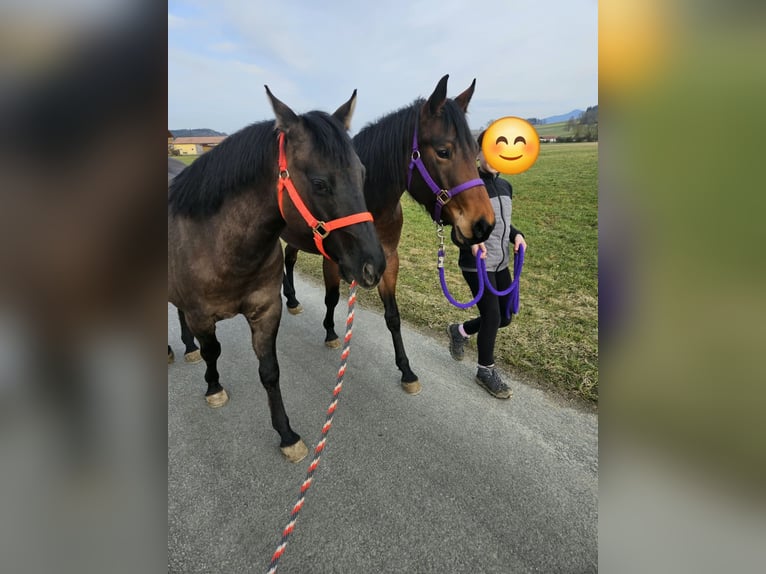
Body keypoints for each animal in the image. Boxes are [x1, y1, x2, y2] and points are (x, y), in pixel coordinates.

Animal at [168, 87, 386, 462]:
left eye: (362, 172)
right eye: (319, 183)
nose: (373, 266)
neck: (220, 246)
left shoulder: (267, 309)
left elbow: (270, 371)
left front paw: (286, 434)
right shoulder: (201, 316)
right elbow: (213, 351)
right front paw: (213, 387)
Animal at [282, 75, 495, 395]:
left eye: (474, 151)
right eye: (443, 151)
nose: (483, 224)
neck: (369, 201)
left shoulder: (388, 260)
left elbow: (393, 317)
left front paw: (406, 370)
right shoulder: (333, 260)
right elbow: (332, 297)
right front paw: (330, 332)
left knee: (288, 258)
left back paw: (292, 299)